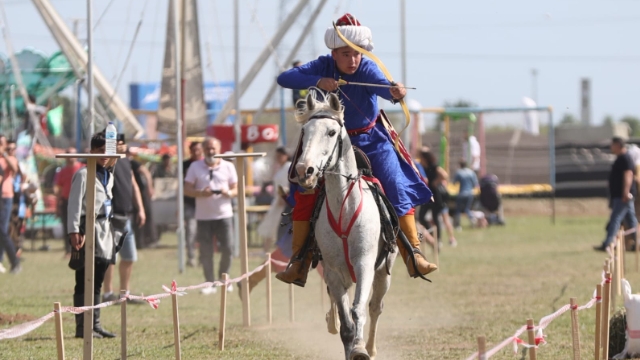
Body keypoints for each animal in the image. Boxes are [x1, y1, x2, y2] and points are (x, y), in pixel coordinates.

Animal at [294, 91, 396, 358]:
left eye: (331, 132)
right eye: (305, 132)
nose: (305, 170)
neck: (344, 208)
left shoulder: (365, 265)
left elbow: (359, 310)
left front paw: (360, 349)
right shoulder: (333, 271)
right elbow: (346, 321)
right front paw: (350, 343)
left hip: (383, 273)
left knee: (375, 307)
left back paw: (370, 347)